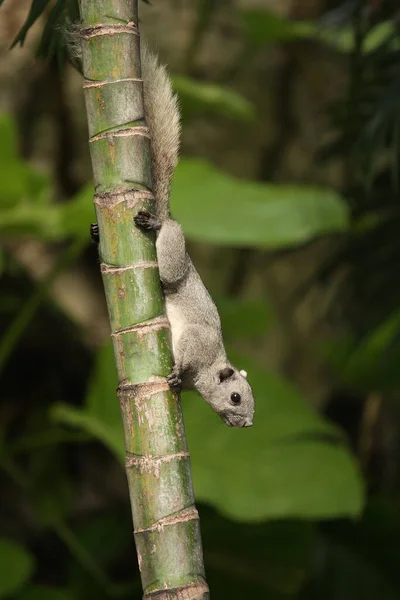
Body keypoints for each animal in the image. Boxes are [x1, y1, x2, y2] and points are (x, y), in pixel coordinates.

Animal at [91, 44, 253, 428]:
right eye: (236, 397)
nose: (246, 424)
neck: (209, 369)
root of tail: (166, 215)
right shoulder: (199, 340)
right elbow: (189, 348)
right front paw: (177, 370)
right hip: (173, 255)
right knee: (166, 268)